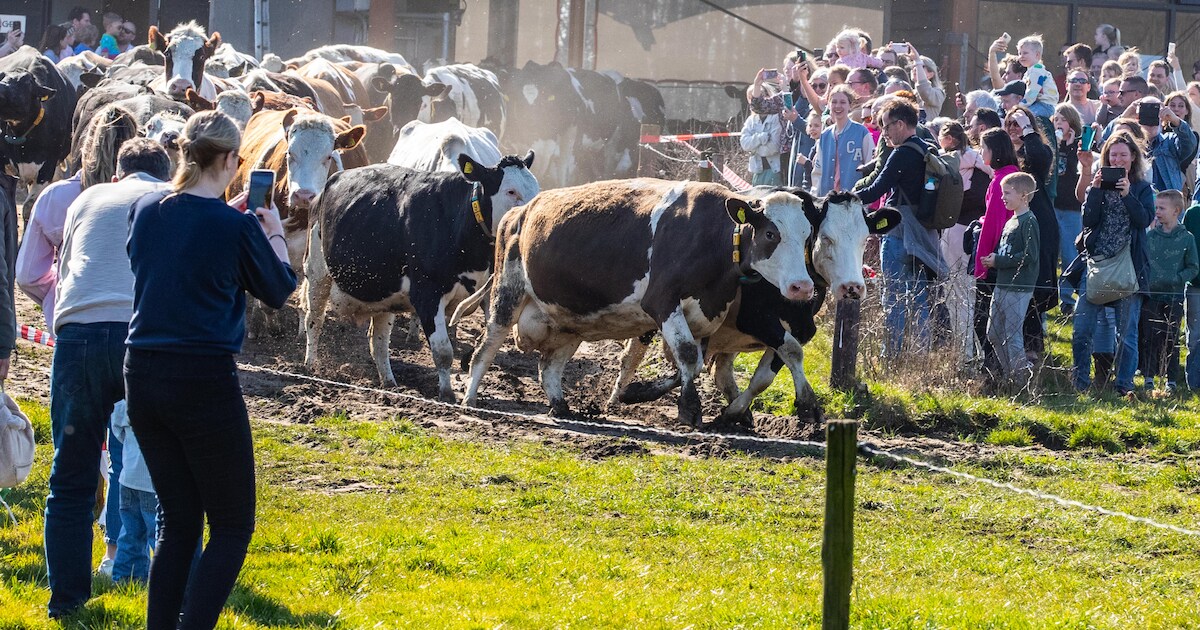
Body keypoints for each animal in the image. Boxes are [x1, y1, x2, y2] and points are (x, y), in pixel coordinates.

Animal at [303, 152, 538, 399]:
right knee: (314, 319)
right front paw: (446, 394)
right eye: (511, 191)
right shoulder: (428, 294)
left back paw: (389, 382)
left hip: (385, 294)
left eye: (536, 188)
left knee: (379, 340)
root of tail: (334, 179)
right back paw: (311, 366)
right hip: (317, 271)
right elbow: (443, 351)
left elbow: (480, 344)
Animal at [461, 180, 816, 427]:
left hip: (569, 322)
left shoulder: (706, 316)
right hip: (507, 294)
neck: (714, 236)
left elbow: (693, 362)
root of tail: (519, 211)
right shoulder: (662, 302)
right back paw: (469, 398)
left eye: (807, 235)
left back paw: (561, 407)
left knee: (549, 365)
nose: (803, 287)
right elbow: (688, 355)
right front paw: (689, 409)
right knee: (487, 345)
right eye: (771, 234)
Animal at [609, 189, 901, 426]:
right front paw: (808, 404)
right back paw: (619, 395)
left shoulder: (798, 329)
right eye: (826, 238)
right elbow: (789, 352)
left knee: (716, 369)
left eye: (864, 239)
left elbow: (766, 374)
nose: (853, 287)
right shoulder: (755, 319)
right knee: (635, 355)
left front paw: (734, 411)